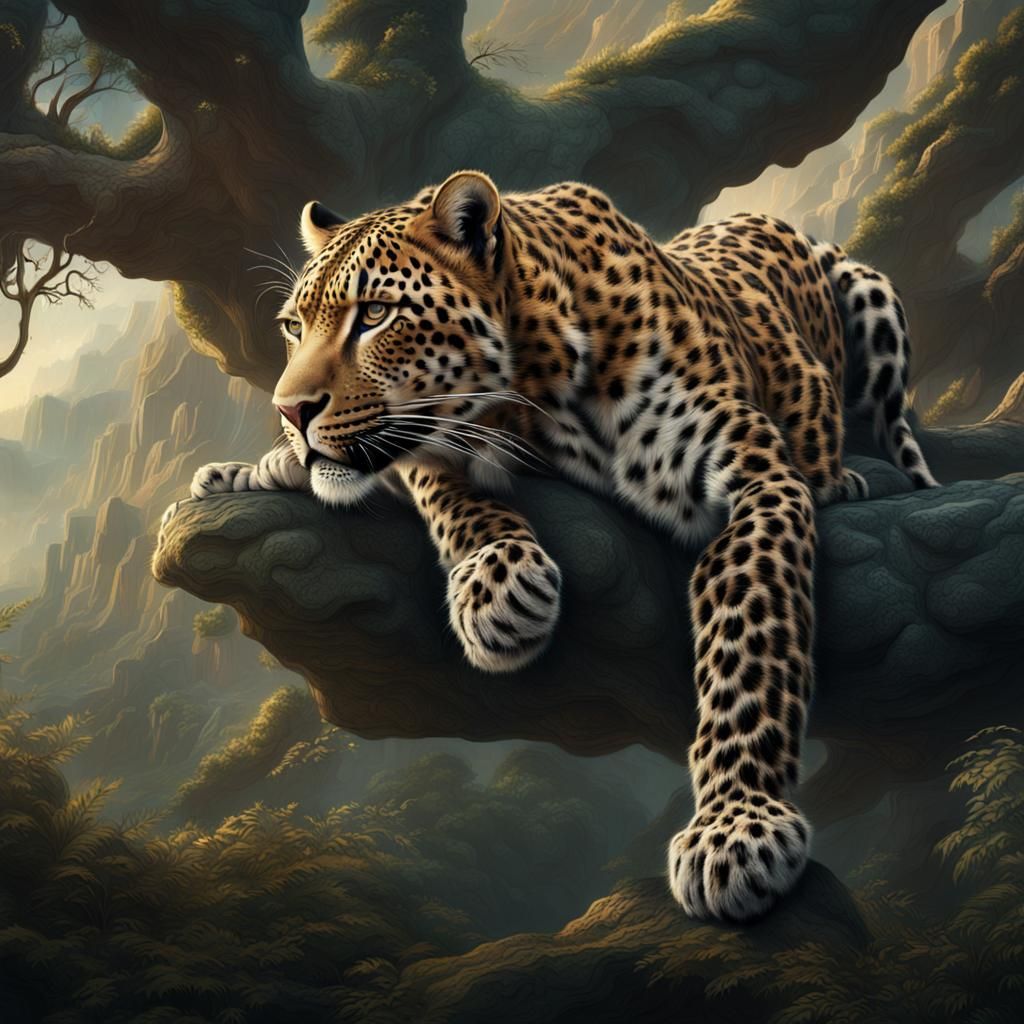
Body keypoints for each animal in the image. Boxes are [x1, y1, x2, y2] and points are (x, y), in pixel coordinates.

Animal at [168, 171, 938, 922]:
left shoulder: (757, 477)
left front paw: (738, 826)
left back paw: (859, 478)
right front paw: (500, 586)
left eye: (377, 314)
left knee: (896, 432)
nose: (289, 410)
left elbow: (749, 631)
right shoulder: (432, 450)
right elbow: (446, 493)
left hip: (873, 298)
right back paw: (244, 472)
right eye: (293, 328)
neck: (536, 385)